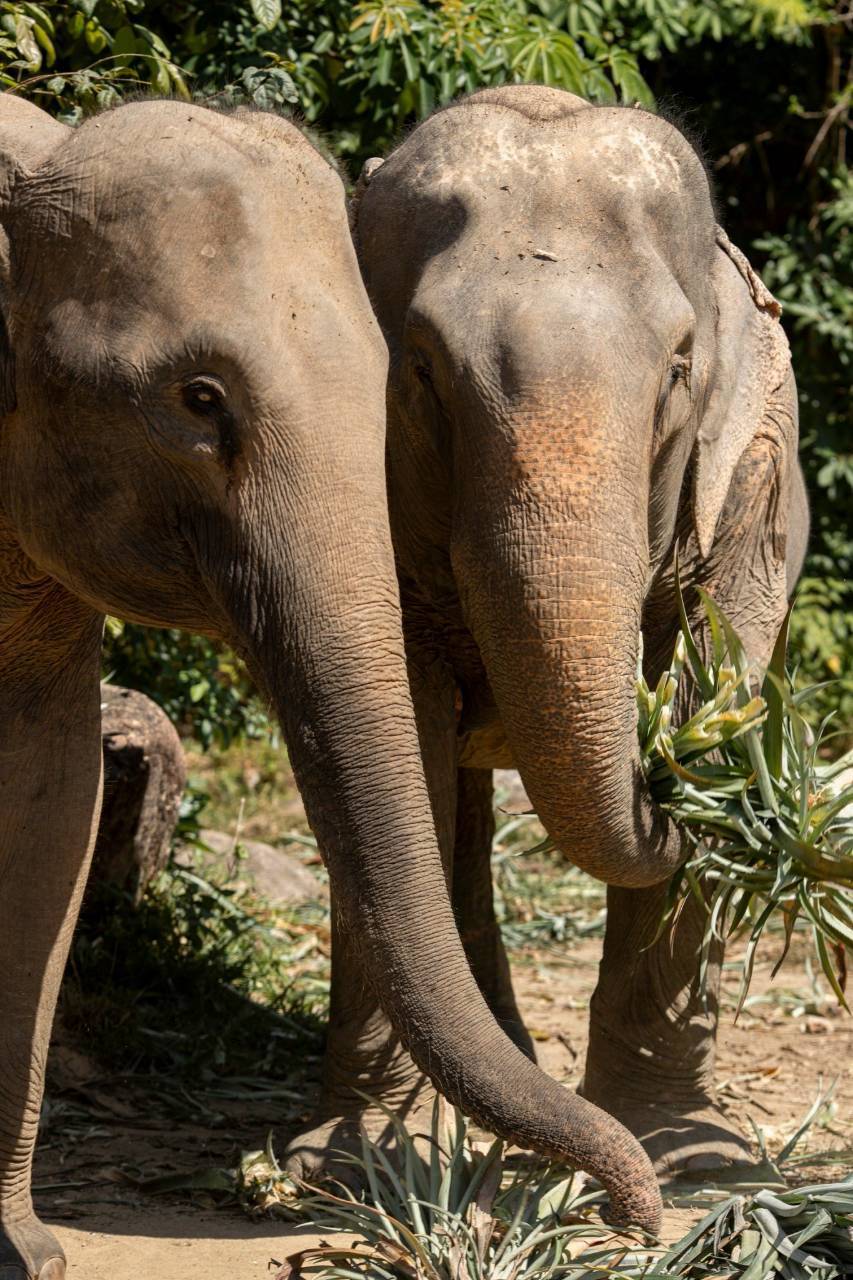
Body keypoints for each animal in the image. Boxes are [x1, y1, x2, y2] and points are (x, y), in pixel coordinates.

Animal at [291, 84, 810, 1191]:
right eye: (422, 370)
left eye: (678, 369)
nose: (661, 773)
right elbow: (403, 743)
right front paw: (355, 1163)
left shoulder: (754, 472)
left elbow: (717, 668)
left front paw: (694, 1155)